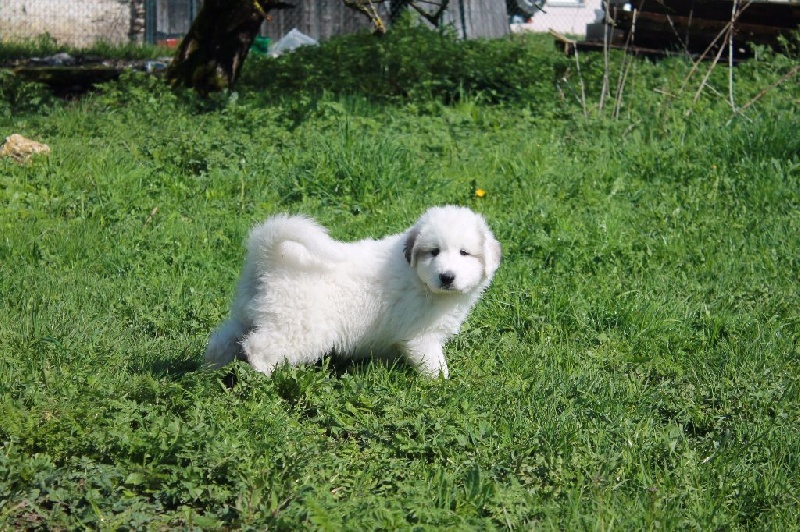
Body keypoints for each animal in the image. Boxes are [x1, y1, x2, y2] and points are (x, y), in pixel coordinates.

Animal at [204, 206, 501, 378]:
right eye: (434, 251)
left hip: (247, 314)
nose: (446, 276)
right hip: (299, 327)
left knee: (224, 338)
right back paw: (266, 376)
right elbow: (435, 364)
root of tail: (269, 258)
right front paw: (444, 386)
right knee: (259, 347)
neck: (419, 278)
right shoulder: (421, 336)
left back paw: (209, 367)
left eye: (464, 253)